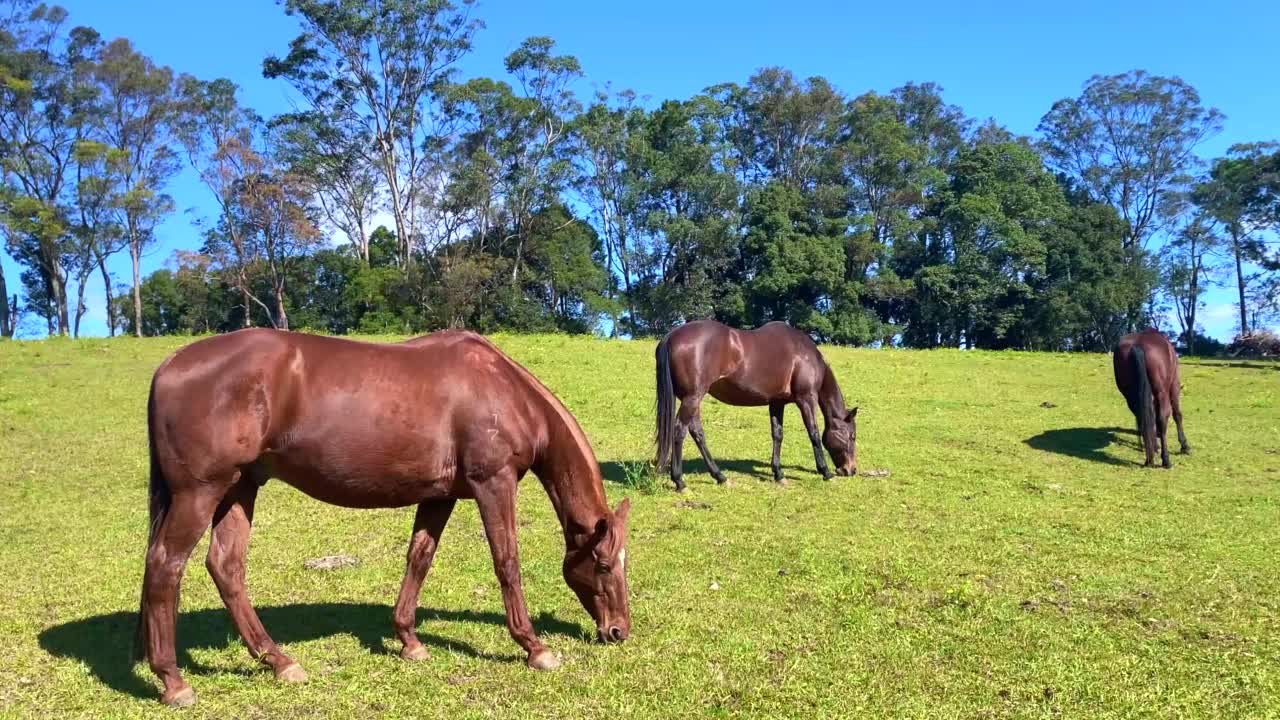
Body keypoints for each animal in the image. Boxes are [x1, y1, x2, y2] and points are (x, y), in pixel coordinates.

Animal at [137, 327, 632, 702]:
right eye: (604, 564)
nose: (618, 631)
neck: (502, 390)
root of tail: (169, 366)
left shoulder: (440, 496)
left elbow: (419, 559)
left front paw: (409, 642)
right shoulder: (494, 483)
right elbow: (507, 564)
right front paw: (534, 647)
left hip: (240, 489)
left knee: (226, 567)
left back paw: (279, 661)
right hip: (201, 492)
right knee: (165, 566)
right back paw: (174, 682)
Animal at [1116, 325, 1192, 466]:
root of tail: (1138, 344)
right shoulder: (1174, 385)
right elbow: (1177, 415)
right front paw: (1185, 446)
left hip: (1130, 395)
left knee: (1142, 417)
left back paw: (1150, 454)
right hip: (1162, 392)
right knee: (1162, 419)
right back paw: (1166, 459)